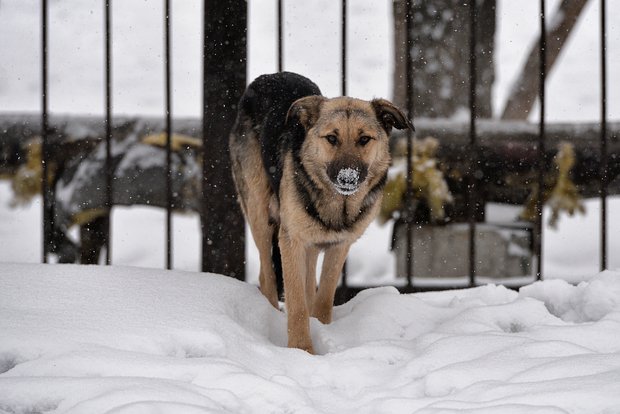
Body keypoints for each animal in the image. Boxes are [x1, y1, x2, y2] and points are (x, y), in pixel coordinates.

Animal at [228, 71, 412, 352]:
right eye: (332, 138)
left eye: (364, 139)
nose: (348, 178)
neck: (337, 205)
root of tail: (267, 76)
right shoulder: (291, 241)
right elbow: (296, 303)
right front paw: (301, 349)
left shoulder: (340, 244)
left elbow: (323, 296)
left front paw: (322, 329)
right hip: (259, 212)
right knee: (266, 276)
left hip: (310, 242)